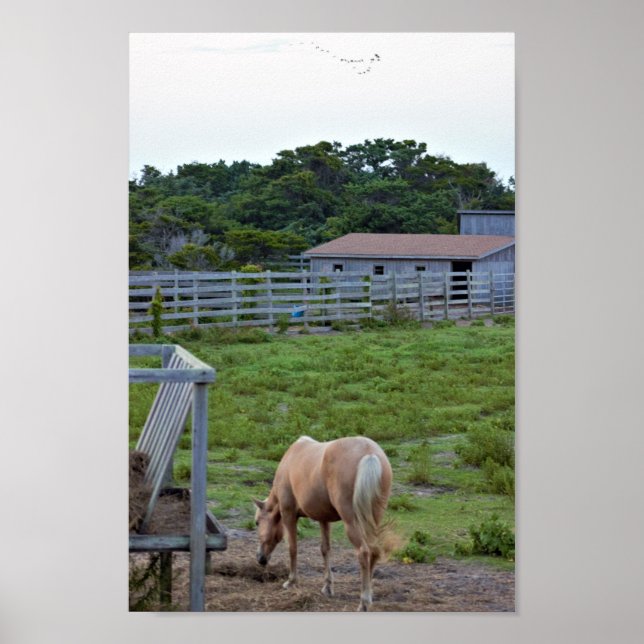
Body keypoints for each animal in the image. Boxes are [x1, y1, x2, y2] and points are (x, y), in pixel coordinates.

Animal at [253, 435, 393, 611]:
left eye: (257, 522)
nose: (260, 558)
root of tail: (369, 454)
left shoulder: (288, 514)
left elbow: (292, 547)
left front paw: (291, 581)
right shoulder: (323, 519)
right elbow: (325, 549)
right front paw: (327, 587)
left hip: (352, 522)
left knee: (364, 552)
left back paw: (364, 601)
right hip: (373, 520)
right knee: (374, 551)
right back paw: (369, 594)